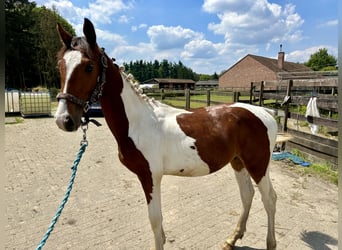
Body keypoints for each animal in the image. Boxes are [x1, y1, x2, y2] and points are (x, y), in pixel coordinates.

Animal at [54, 18, 278, 250]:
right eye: (60, 65)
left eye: (89, 67)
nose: (64, 120)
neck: (139, 122)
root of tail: (265, 112)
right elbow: (158, 227)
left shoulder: (151, 177)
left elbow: (155, 222)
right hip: (238, 162)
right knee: (248, 195)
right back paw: (232, 239)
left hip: (258, 165)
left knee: (269, 199)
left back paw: (270, 243)